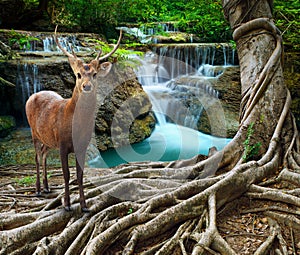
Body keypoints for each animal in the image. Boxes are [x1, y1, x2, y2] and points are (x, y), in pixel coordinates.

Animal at [25, 26, 122, 212]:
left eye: (95, 74)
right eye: (78, 74)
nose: (86, 86)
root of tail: (32, 95)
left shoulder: (82, 146)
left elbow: (80, 174)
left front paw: (84, 205)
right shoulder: (62, 143)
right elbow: (66, 174)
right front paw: (67, 204)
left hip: (48, 139)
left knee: (44, 153)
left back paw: (47, 187)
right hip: (33, 131)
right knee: (36, 157)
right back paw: (38, 189)